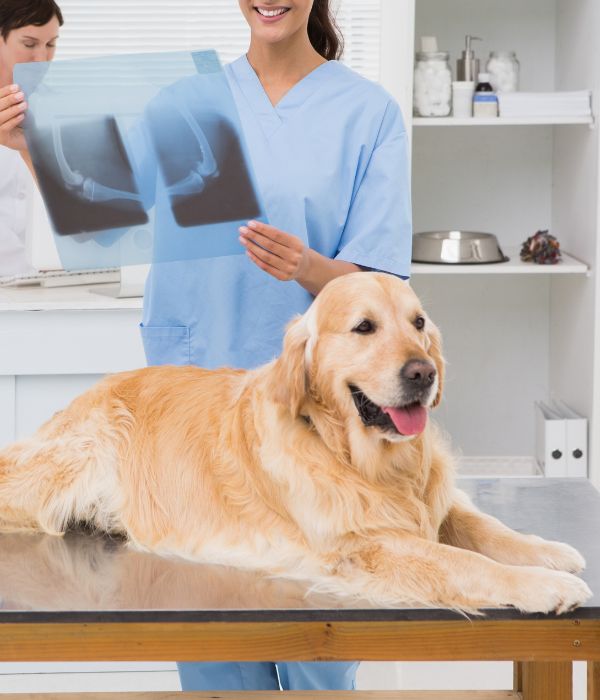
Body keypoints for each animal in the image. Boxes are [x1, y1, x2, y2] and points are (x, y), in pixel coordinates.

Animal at [0, 274, 592, 612]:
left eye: (419, 323)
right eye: (364, 327)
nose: (423, 373)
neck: (364, 460)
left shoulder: (433, 501)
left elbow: (485, 527)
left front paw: (548, 552)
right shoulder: (362, 547)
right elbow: (466, 563)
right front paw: (543, 587)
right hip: (69, 461)